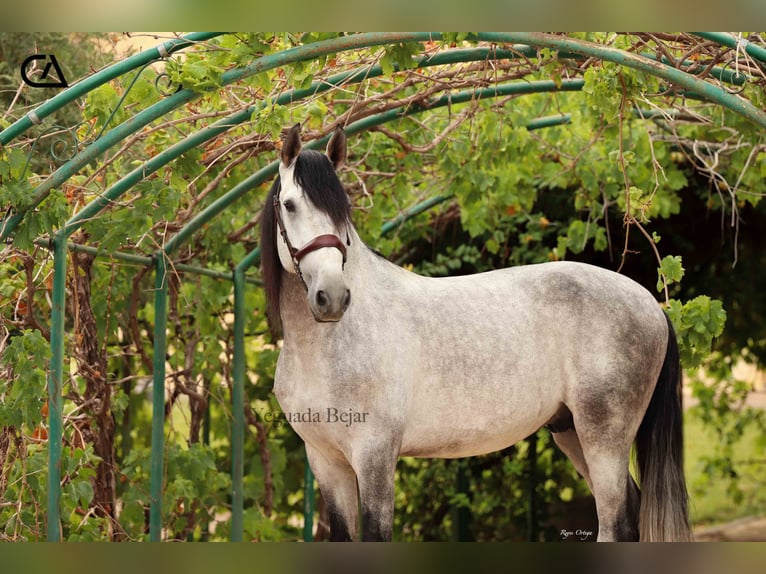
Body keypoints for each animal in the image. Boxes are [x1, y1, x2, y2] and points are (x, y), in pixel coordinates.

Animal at [260, 124, 692, 544]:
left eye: (342, 210)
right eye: (290, 205)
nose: (332, 297)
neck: (330, 346)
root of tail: (651, 304)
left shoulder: (374, 458)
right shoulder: (326, 461)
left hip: (604, 440)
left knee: (615, 525)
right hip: (572, 434)